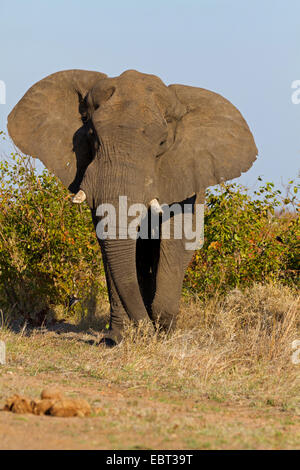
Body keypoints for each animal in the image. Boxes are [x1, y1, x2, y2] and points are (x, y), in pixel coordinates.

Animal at [6, 69, 258, 346]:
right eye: (92, 135)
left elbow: (177, 234)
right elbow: (110, 241)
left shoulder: (184, 171)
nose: (147, 330)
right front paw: (117, 338)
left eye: (162, 142)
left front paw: (162, 329)